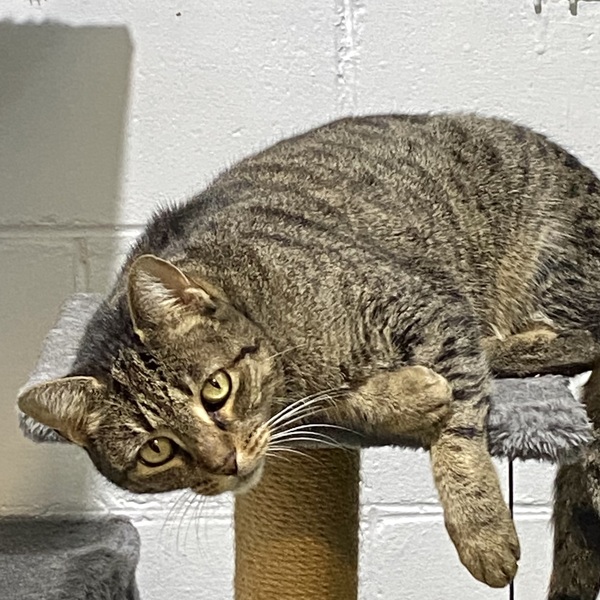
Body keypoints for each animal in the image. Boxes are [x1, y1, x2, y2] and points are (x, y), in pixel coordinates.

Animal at [17, 113, 600, 593]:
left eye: (216, 389)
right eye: (157, 450)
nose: (225, 464)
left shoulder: (430, 305)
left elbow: (458, 435)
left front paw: (482, 532)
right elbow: (335, 408)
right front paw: (407, 393)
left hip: (553, 264)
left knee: (579, 340)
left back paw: (505, 344)